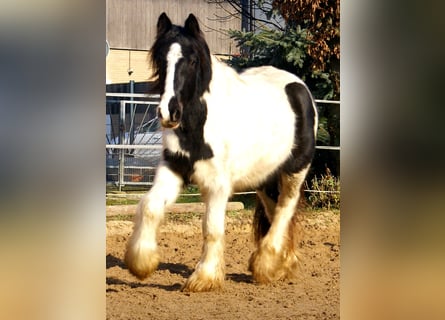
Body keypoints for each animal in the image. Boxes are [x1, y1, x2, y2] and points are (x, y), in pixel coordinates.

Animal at [125, 12, 318, 292]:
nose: (168, 113)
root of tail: (300, 88)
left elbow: (211, 227)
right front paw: (141, 263)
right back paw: (284, 264)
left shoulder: (217, 185)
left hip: (295, 171)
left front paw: (204, 277)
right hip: (264, 179)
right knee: (275, 212)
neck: (200, 124)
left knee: (285, 209)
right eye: (161, 58)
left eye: (193, 60)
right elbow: (149, 206)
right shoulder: (174, 168)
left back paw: (265, 264)